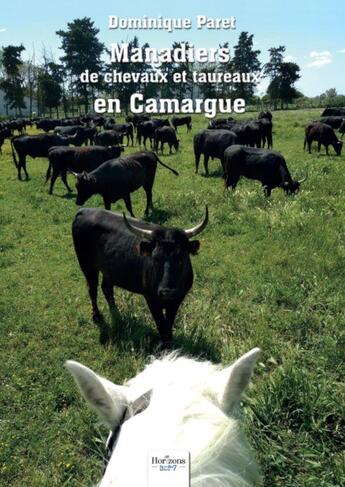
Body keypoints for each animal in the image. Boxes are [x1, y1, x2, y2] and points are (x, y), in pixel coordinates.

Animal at [71, 207, 208, 344]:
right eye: (155, 258)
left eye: (180, 258)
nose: (166, 292)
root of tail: (85, 210)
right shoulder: (151, 299)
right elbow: (161, 325)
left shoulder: (177, 299)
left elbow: (168, 325)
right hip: (86, 265)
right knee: (92, 289)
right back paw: (96, 316)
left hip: (109, 270)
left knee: (106, 288)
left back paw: (116, 315)